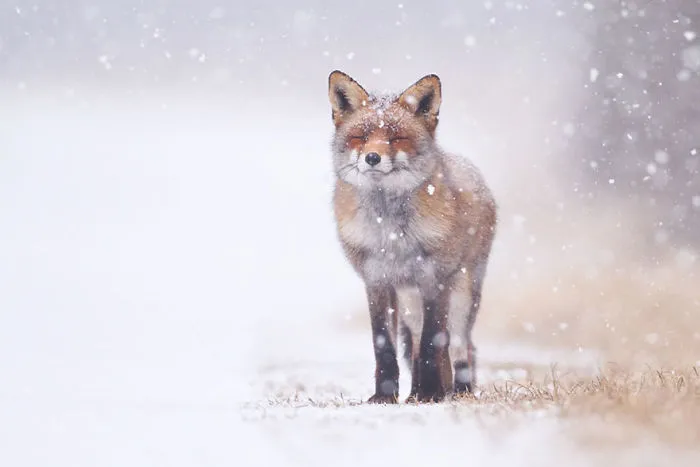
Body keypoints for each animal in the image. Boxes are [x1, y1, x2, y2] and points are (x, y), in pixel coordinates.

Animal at [328, 70, 497, 403]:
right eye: (361, 137)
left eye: (396, 139)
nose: (372, 157)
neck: (390, 233)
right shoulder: (376, 281)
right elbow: (385, 345)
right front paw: (384, 397)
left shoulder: (434, 279)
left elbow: (434, 341)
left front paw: (432, 394)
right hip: (409, 300)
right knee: (418, 342)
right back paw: (417, 391)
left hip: (462, 294)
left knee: (461, 345)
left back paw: (456, 391)